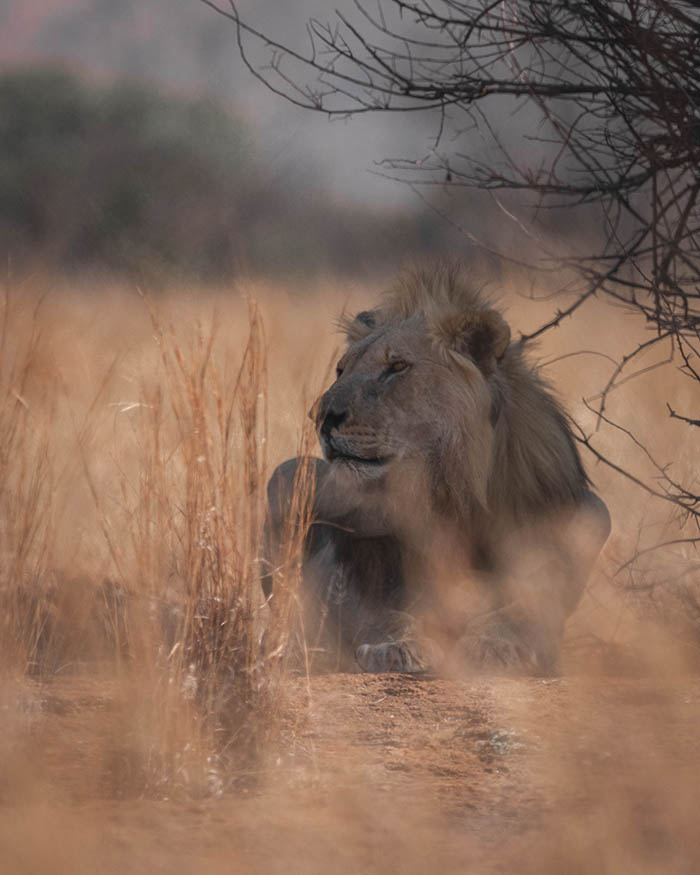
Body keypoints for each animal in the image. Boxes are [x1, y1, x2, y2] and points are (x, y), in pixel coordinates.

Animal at [265, 263, 610, 675]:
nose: (320, 416)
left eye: (397, 366)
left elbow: (523, 610)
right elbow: (387, 614)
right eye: (341, 369)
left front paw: (496, 646)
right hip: (288, 474)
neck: (452, 494)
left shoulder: (587, 519)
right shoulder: (359, 581)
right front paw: (397, 646)